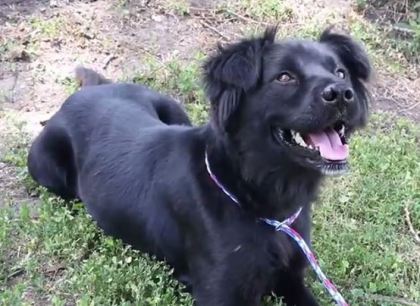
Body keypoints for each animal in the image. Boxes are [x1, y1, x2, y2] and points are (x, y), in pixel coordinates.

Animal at [27, 27, 370, 304]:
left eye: (341, 72)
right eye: (284, 77)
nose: (342, 93)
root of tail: (88, 90)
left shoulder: (291, 276)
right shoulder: (219, 293)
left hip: (173, 108)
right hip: (44, 166)